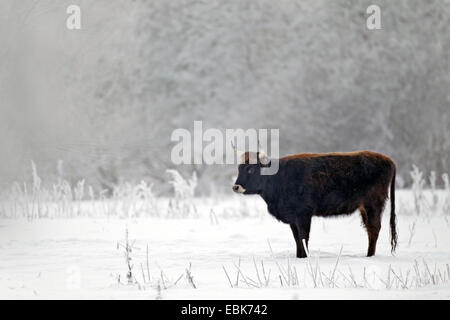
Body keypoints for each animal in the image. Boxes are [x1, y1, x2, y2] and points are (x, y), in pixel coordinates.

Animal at [232, 149, 398, 258]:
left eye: (251, 169)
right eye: (239, 168)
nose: (236, 187)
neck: (279, 177)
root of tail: (388, 160)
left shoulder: (303, 215)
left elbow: (303, 237)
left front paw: (304, 257)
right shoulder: (293, 218)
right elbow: (297, 239)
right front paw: (299, 256)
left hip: (373, 204)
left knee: (374, 229)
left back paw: (369, 255)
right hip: (364, 207)